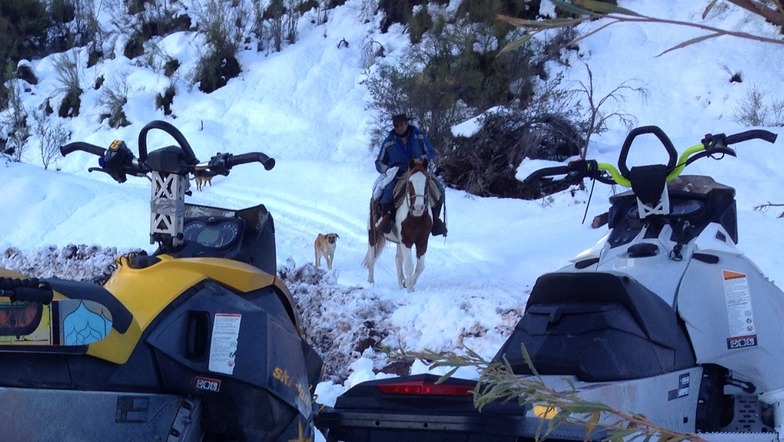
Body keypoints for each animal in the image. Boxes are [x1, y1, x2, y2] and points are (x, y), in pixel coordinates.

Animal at [362, 157, 432, 292]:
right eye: (410, 182)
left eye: (426, 183)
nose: (418, 208)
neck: (416, 218)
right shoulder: (406, 241)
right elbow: (409, 266)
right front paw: (409, 291)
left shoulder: (422, 241)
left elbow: (420, 267)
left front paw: (409, 285)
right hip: (373, 233)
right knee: (372, 257)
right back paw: (370, 282)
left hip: (398, 242)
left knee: (398, 259)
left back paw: (401, 282)